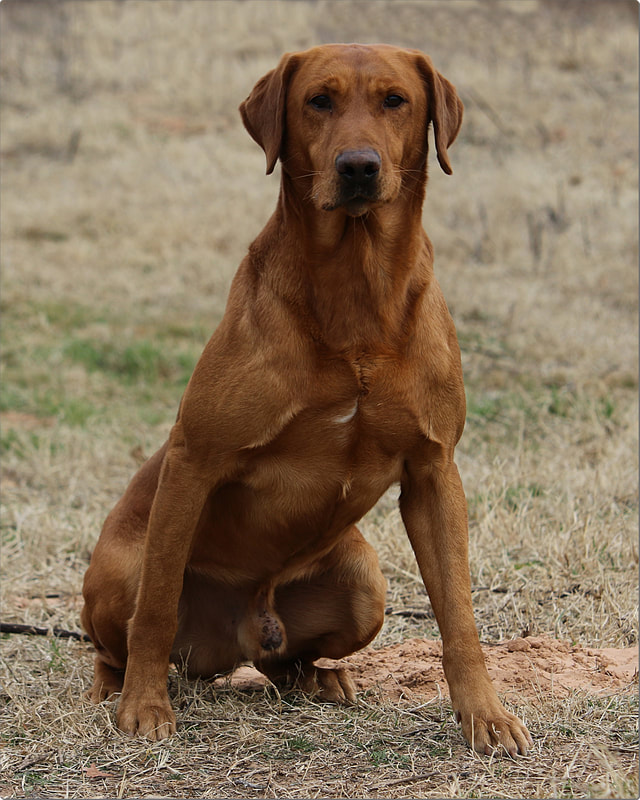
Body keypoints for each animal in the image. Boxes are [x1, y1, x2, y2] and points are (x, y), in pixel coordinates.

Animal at [81, 43, 528, 756]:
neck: (355, 285)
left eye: (395, 101)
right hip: (121, 564)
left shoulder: (434, 470)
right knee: (121, 634)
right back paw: (115, 685)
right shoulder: (193, 461)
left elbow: (458, 614)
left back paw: (320, 677)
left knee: (281, 661)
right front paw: (145, 708)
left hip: (363, 579)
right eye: (319, 100)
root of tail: (239, 633)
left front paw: (485, 715)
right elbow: (154, 607)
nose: (358, 166)